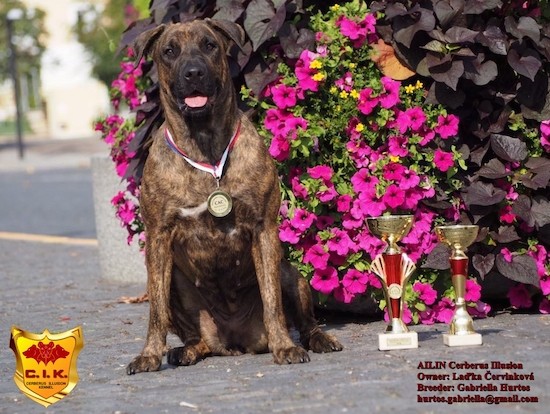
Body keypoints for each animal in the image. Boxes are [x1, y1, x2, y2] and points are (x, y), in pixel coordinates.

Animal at [127, 19, 342, 376]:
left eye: (209, 45)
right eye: (169, 51)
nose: (194, 72)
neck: (205, 148)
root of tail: (233, 342)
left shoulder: (263, 230)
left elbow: (272, 302)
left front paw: (285, 346)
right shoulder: (158, 237)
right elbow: (155, 312)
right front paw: (149, 354)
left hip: (291, 274)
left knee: (304, 320)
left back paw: (317, 339)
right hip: (176, 288)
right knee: (192, 335)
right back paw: (185, 351)